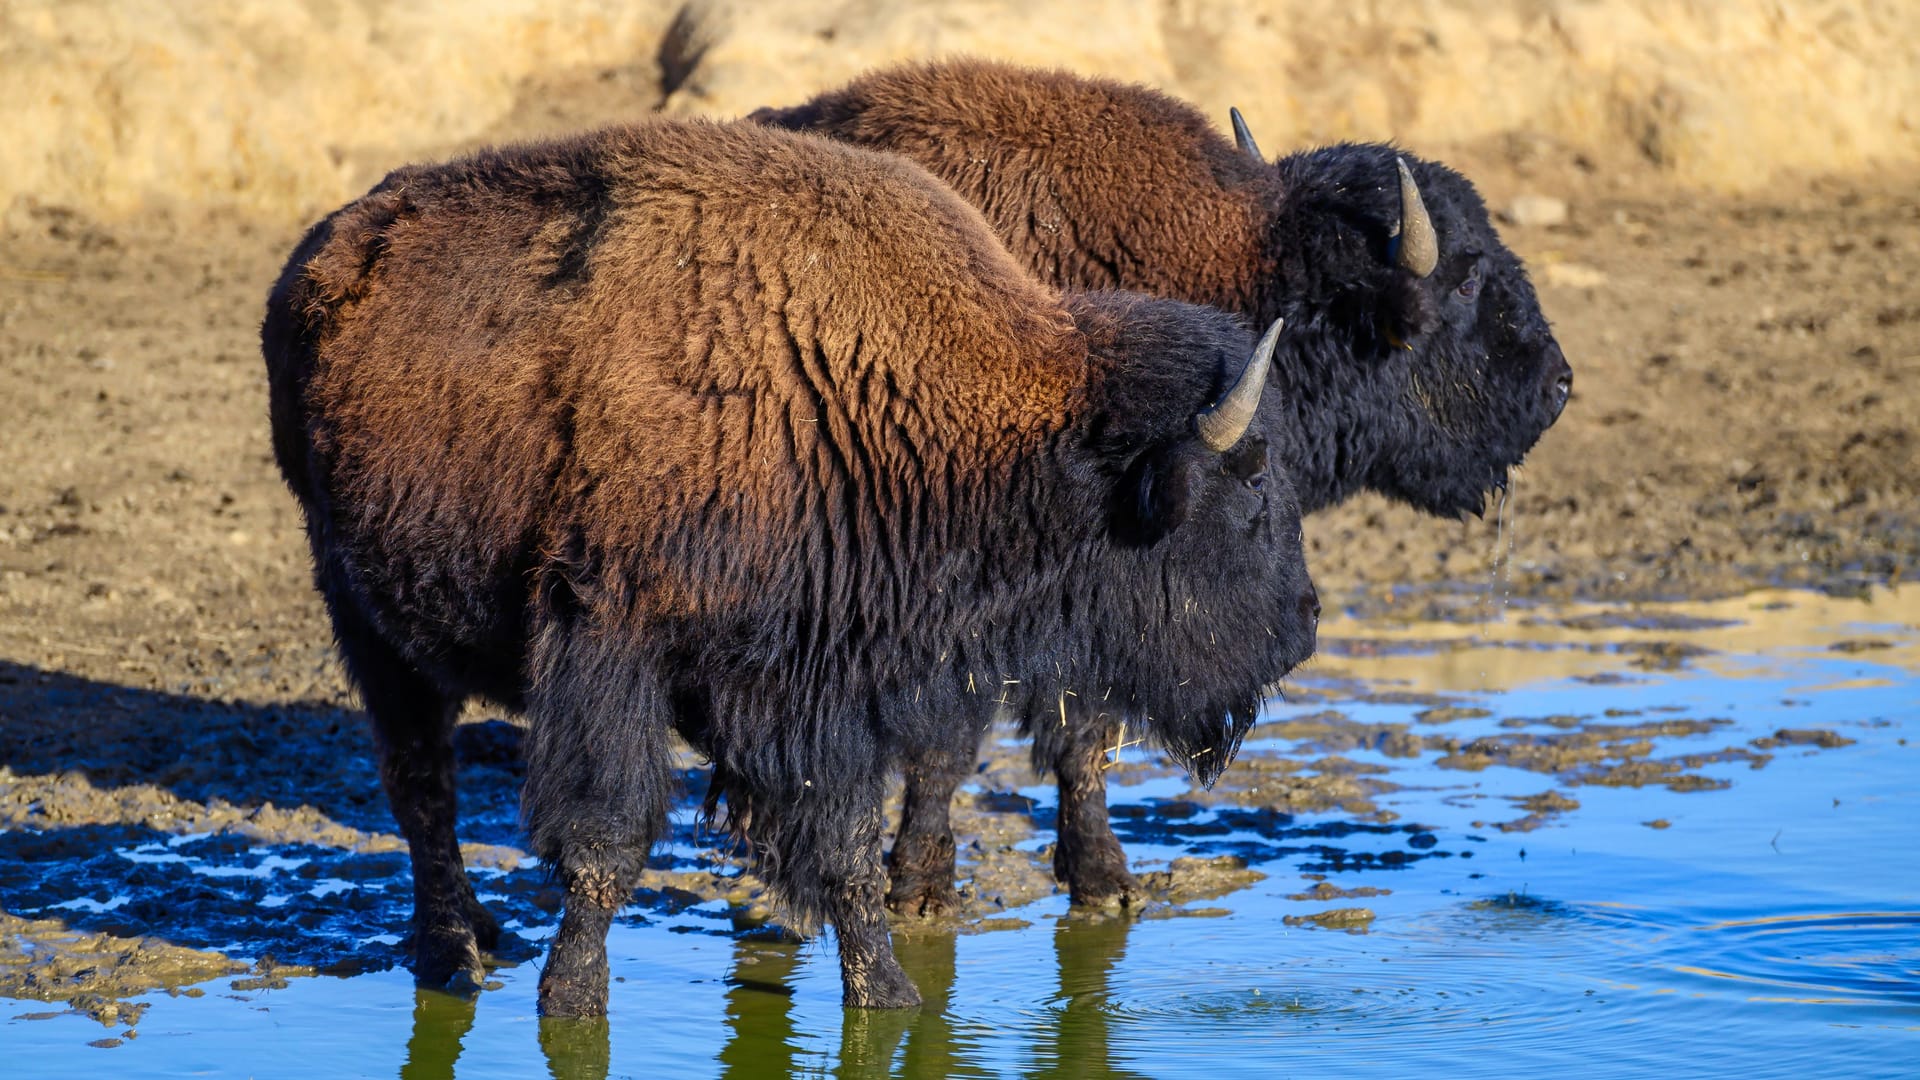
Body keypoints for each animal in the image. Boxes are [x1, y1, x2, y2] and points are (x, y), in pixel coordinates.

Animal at [263, 117, 1320, 1006]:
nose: (1305, 626)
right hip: (365, 618)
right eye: (1252, 492)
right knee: (422, 788)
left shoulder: (817, 688)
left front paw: (887, 998)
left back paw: (481, 936)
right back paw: (455, 953)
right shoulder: (610, 642)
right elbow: (608, 838)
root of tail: (317, 258)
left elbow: (845, 845)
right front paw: (573, 1001)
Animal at [748, 58, 1574, 910]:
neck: (1251, 270)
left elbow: (1080, 737)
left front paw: (1101, 882)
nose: (1558, 384)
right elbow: (968, 741)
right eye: (1467, 280)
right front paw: (925, 889)